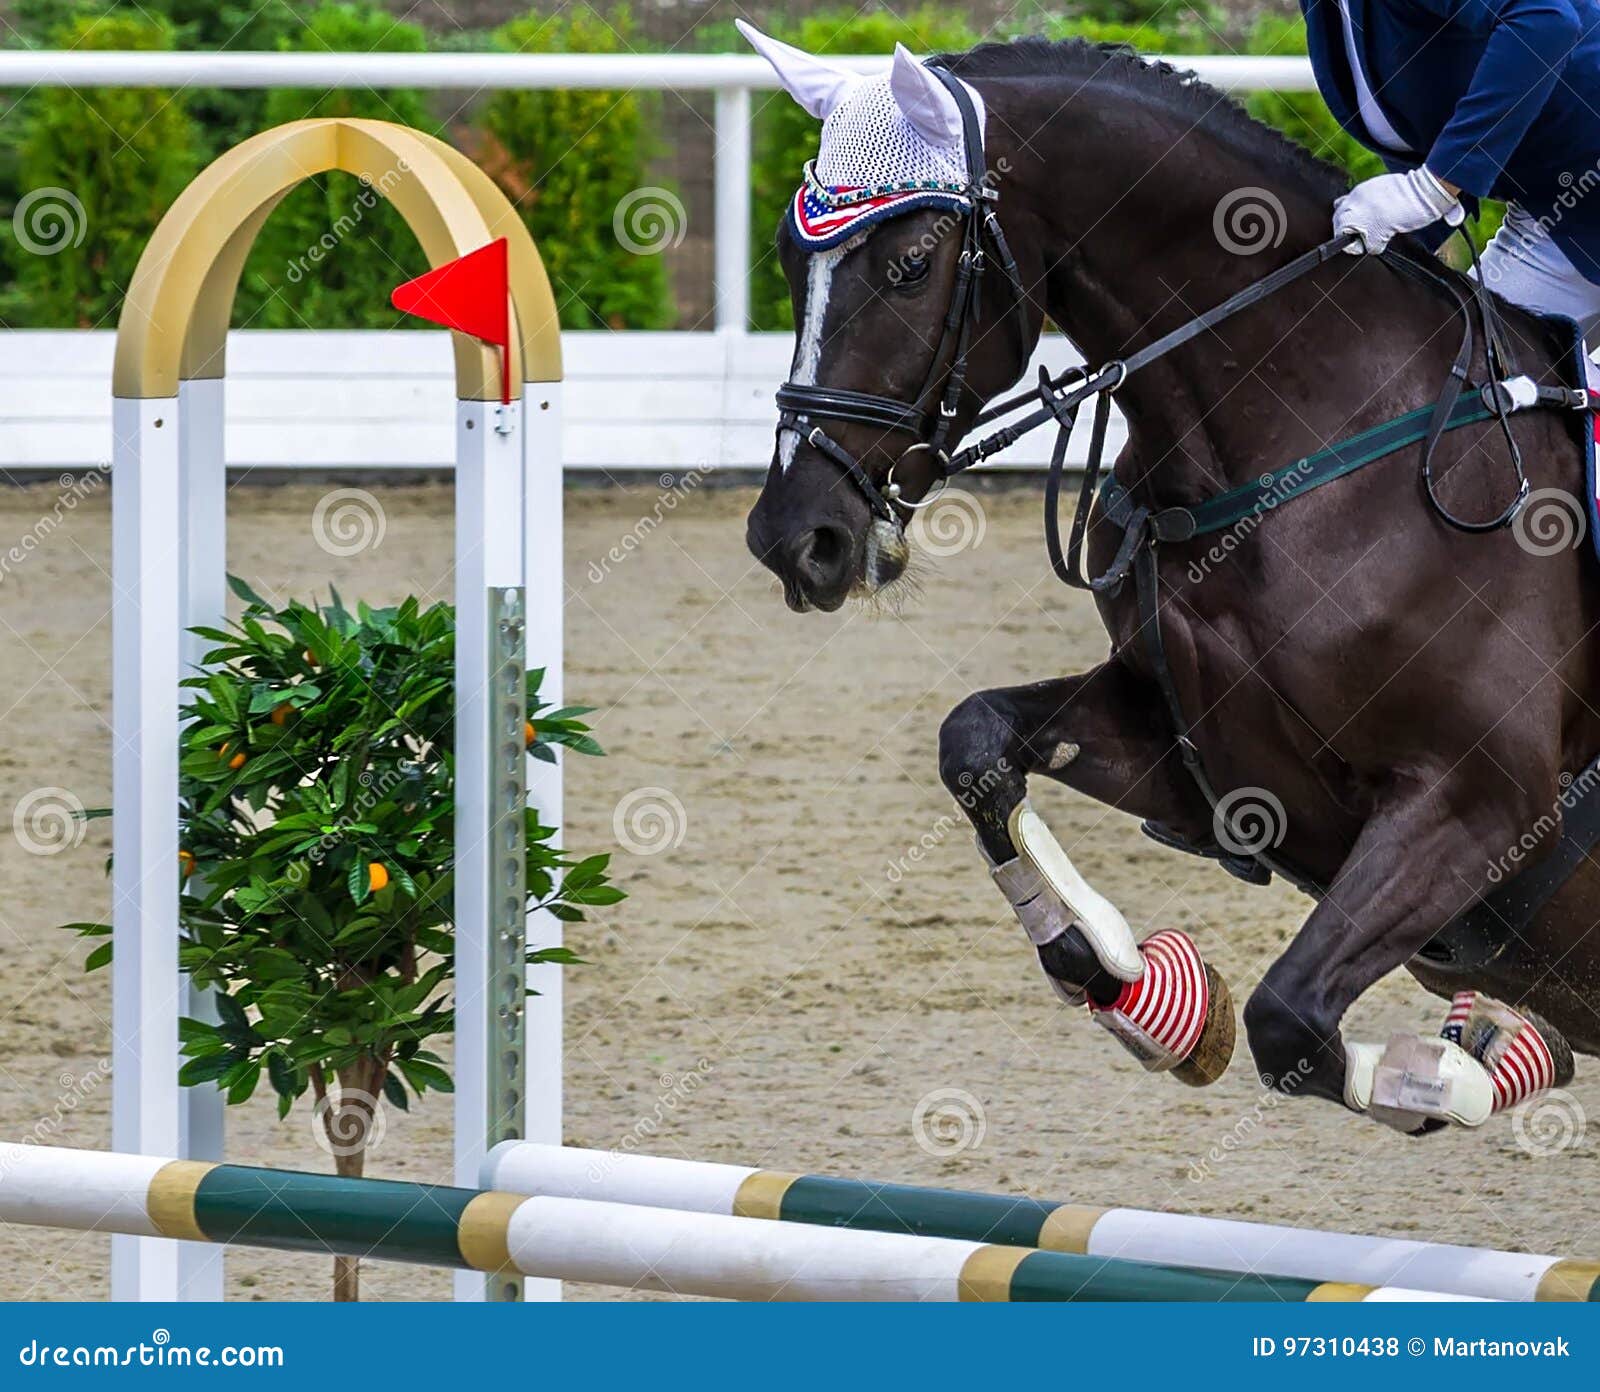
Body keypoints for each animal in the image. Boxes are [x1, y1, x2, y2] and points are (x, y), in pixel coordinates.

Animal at [742, 32, 1593, 1139]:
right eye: (787, 258)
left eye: (911, 264)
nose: (794, 538)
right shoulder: (1218, 769)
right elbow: (974, 742)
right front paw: (1141, 991)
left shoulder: (1478, 799)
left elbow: (1290, 1020)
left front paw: (1468, 1067)